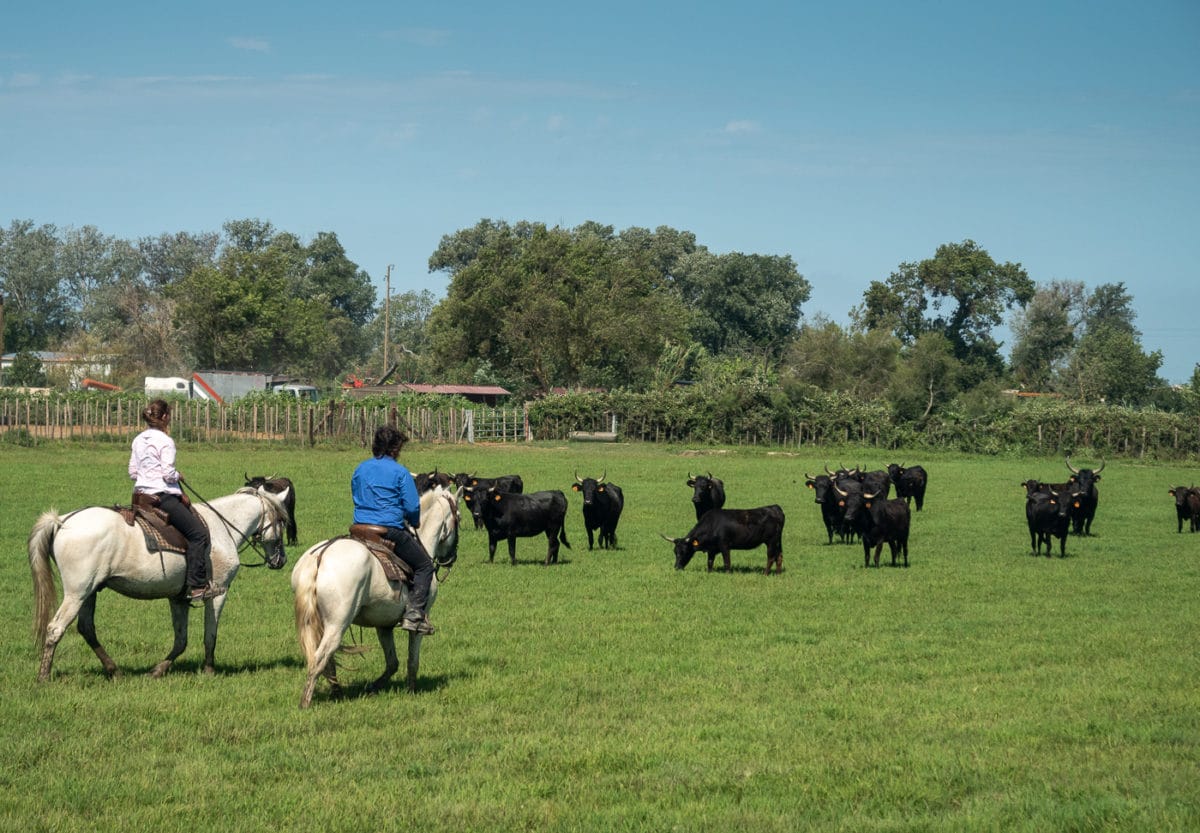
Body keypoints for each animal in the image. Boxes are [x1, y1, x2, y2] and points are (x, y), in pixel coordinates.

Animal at [29, 487, 291, 681]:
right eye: (282, 520)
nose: (281, 560)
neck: (222, 527)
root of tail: (62, 521)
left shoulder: (178, 598)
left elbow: (181, 639)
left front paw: (157, 670)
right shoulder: (219, 592)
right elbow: (210, 634)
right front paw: (209, 670)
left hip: (89, 593)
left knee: (86, 628)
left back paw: (115, 671)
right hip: (77, 593)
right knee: (55, 629)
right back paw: (44, 677)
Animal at [290, 487, 458, 705]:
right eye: (458, 518)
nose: (451, 558)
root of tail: (320, 557)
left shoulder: (383, 625)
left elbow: (392, 662)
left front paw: (373, 687)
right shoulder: (420, 620)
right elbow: (412, 660)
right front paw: (411, 691)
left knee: (327, 660)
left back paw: (337, 694)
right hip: (337, 623)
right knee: (320, 657)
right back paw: (306, 703)